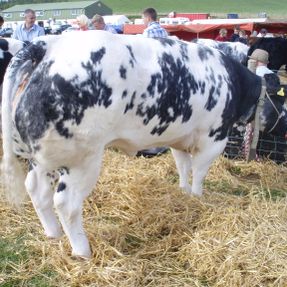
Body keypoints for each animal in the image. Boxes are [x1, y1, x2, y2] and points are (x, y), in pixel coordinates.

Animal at [2, 32, 287, 258]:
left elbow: (183, 167)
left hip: (42, 157)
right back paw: (83, 251)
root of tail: (48, 44)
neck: (232, 82)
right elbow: (199, 172)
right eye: (283, 100)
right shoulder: (213, 138)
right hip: (81, 158)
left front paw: (183, 193)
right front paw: (197, 197)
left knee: (36, 190)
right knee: (66, 203)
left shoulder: (180, 139)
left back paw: (54, 235)